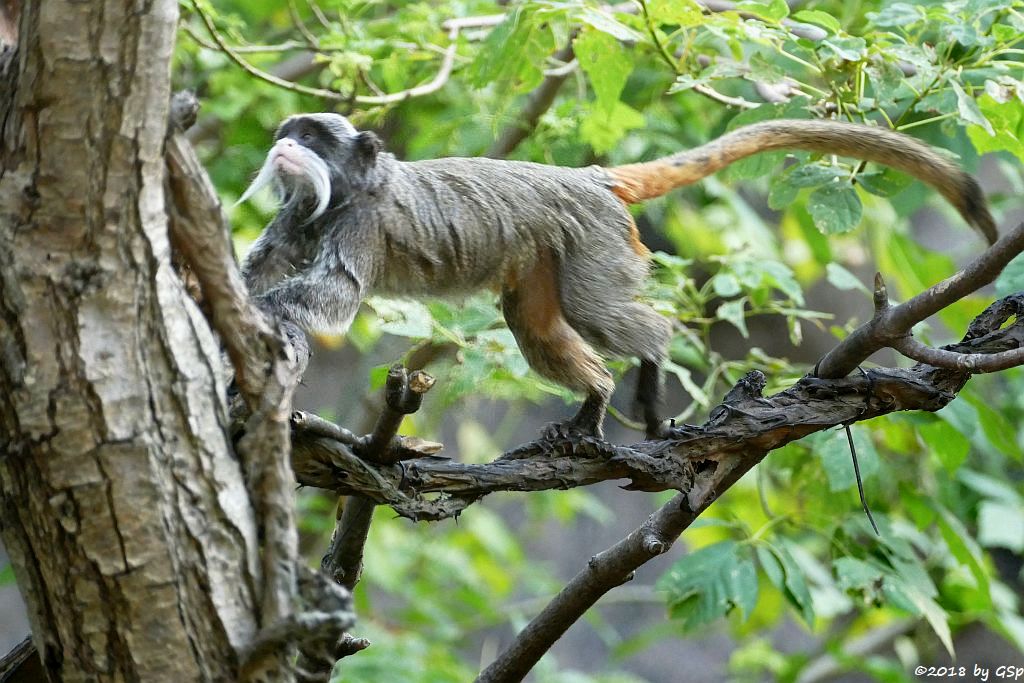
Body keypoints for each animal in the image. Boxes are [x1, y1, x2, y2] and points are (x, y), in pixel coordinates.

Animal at [237, 114, 991, 440]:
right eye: (286, 135)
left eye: (311, 140)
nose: (285, 145)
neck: (347, 193)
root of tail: (590, 179)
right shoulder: (299, 216)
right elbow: (263, 264)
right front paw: (241, 302)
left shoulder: (362, 226)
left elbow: (335, 293)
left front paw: (272, 314)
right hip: (548, 254)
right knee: (537, 326)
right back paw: (596, 394)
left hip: (595, 243)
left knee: (597, 310)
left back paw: (649, 366)